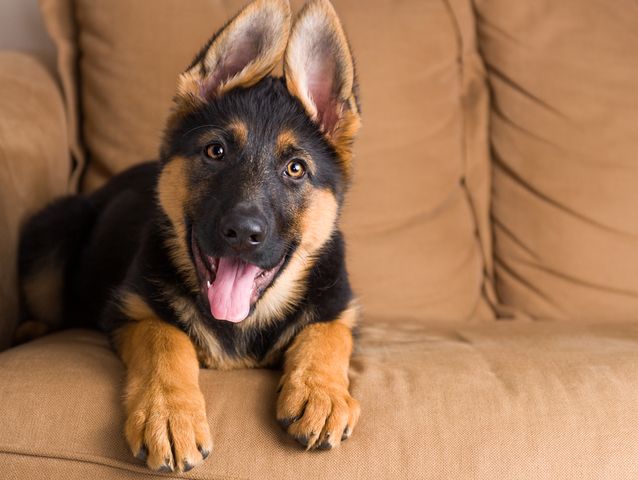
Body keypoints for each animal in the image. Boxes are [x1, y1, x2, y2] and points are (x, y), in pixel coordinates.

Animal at [15, 0, 362, 472]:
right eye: (216, 151)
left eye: (296, 168)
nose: (242, 234)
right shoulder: (133, 310)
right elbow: (167, 340)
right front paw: (167, 414)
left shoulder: (339, 306)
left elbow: (327, 333)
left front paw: (320, 393)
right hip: (57, 225)